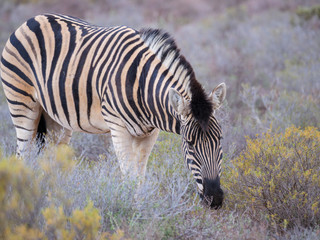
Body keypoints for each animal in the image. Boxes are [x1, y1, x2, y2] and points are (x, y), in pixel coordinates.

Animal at [0, 13, 226, 208]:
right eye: (190, 144)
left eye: (220, 139)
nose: (215, 199)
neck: (142, 86)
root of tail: (33, 19)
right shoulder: (118, 127)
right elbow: (130, 175)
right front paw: (132, 213)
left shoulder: (149, 133)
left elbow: (140, 176)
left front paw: (141, 210)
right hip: (22, 105)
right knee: (23, 156)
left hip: (56, 119)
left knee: (51, 160)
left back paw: (53, 204)